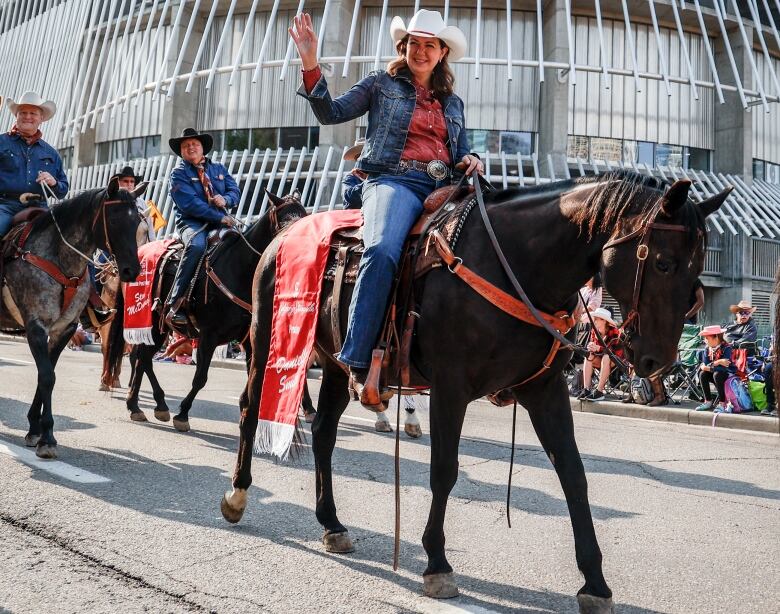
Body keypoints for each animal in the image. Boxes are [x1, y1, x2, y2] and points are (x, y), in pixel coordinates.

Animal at [1, 177, 143, 458]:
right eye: (114, 220)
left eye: (137, 222)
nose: (131, 270)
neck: (58, 258)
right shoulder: (36, 326)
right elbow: (47, 376)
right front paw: (47, 437)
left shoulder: (64, 329)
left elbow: (47, 374)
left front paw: (37, 430)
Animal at [104, 192, 310, 434]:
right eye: (285, 221)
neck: (239, 269)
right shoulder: (209, 336)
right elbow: (200, 378)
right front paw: (182, 414)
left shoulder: (250, 341)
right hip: (151, 323)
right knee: (142, 357)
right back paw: (152, 404)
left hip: (156, 327)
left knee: (141, 357)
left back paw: (139, 405)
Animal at [221, 171, 732, 612]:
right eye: (663, 263)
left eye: (697, 275)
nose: (657, 362)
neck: (514, 265)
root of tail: (285, 235)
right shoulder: (451, 388)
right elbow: (444, 471)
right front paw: (436, 563)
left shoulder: (544, 391)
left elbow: (573, 475)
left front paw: (595, 583)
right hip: (267, 340)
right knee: (250, 409)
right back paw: (238, 495)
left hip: (332, 363)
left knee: (325, 432)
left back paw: (331, 523)